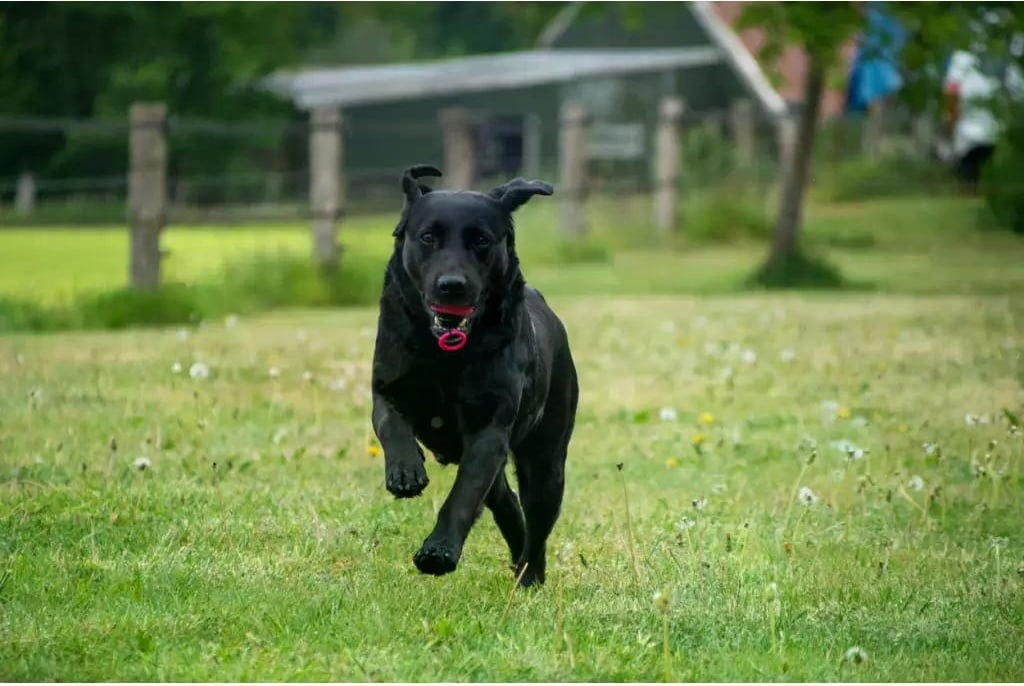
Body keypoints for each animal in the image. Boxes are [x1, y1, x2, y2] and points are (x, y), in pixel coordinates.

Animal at [371, 165, 579, 587]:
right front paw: (405, 471)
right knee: (507, 502)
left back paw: (530, 575)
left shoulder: (489, 430)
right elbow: (390, 424)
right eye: (428, 237)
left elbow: (464, 494)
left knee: (535, 517)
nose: (453, 285)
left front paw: (438, 552)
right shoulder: (386, 387)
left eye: (481, 240)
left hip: (547, 460)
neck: (444, 354)